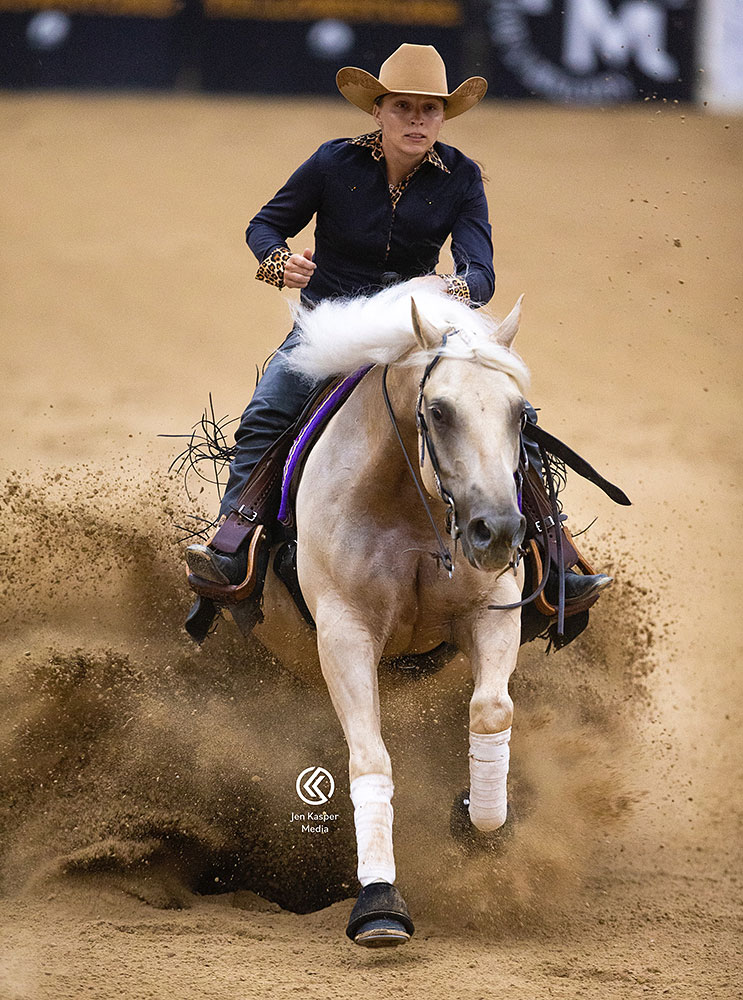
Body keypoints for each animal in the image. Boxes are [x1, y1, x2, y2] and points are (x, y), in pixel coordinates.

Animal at [250, 280, 528, 944]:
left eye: (520, 413)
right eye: (440, 411)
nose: (497, 532)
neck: (409, 505)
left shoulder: (495, 607)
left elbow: (490, 708)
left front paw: (478, 818)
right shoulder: (343, 631)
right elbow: (370, 756)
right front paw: (378, 902)